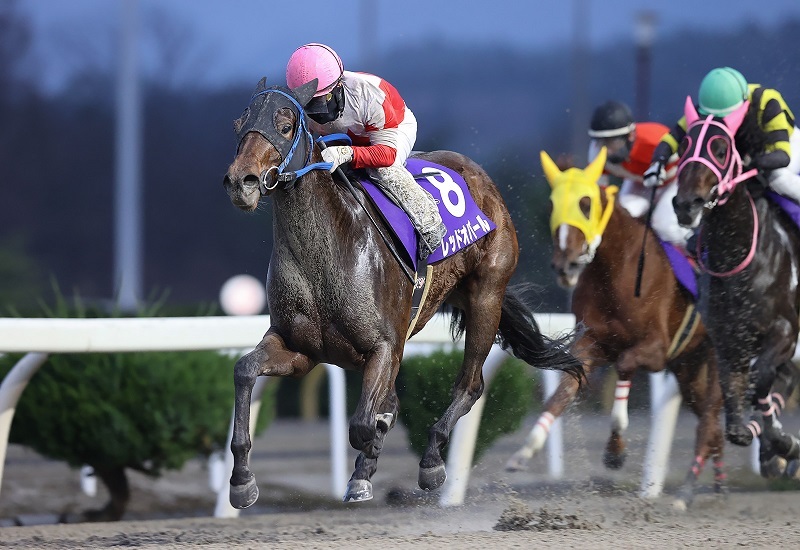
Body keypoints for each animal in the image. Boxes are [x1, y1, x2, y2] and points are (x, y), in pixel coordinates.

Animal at [222, 76, 584, 508]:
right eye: (239, 123)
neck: (325, 256)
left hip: (486, 295)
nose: (240, 182)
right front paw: (242, 481)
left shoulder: (383, 346)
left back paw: (432, 462)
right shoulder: (300, 350)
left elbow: (363, 423)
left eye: (286, 125)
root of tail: (480, 176)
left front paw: (369, 465)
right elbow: (244, 371)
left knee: (470, 384)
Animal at [510, 148, 728, 508]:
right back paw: (719, 483)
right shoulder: (594, 344)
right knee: (711, 419)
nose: (565, 265)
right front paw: (527, 447)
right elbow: (564, 389)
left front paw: (615, 452)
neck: (616, 270)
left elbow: (625, 366)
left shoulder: (655, 349)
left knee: (712, 415)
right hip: (690, 370)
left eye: (585, 203)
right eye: (552, 205)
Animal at [676, 97, 800, 476]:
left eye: (720, 148)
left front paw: (780, 441)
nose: (686, 204)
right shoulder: (728, 340)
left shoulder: (786, 331)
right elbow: (734, 405)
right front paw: (770, 442)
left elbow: (761, 377)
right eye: (684, 145)